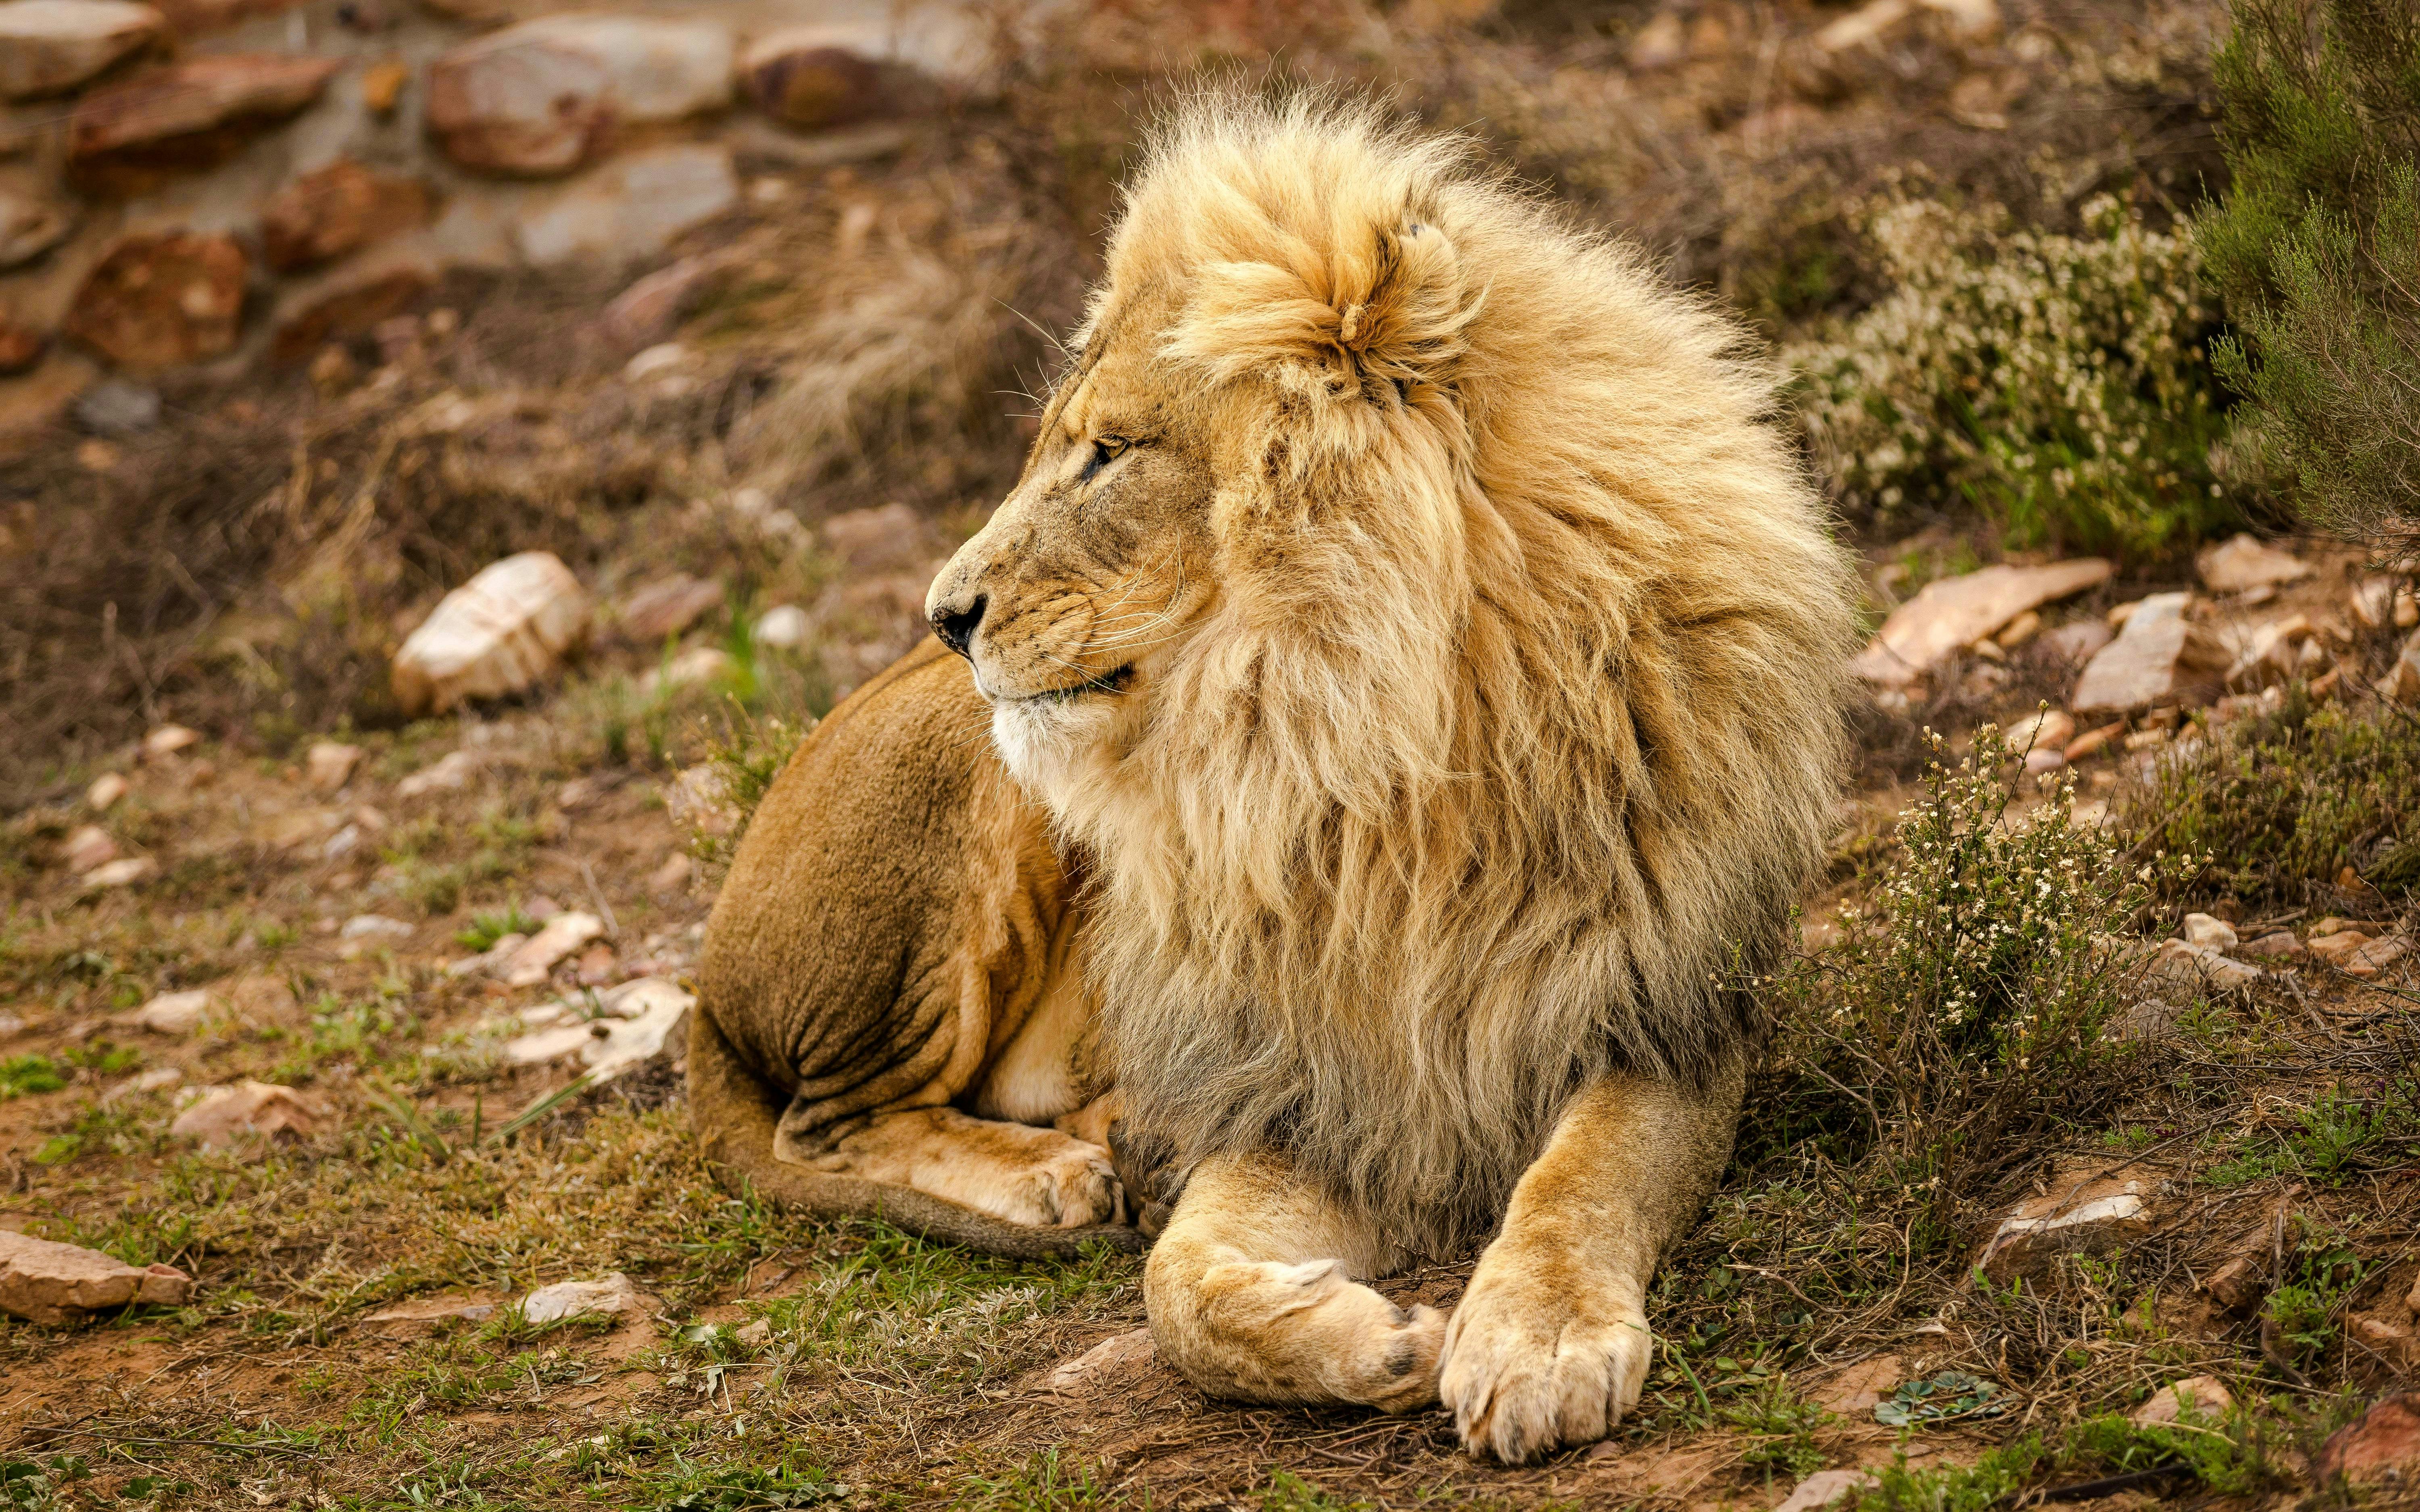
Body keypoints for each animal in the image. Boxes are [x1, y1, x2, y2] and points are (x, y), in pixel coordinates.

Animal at [688, 92, 1858, 1460]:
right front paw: (1374, 1340)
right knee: (825, 1120)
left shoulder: (1666, 1014)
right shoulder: (1305, 1085)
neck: (1376, 752)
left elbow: (1582, 1179)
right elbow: (1177, 1292)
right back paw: (1059, 1174)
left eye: (1107, 454)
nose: (942, 613)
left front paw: (1537, 1339)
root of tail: (703, 979)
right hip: (967, 806)